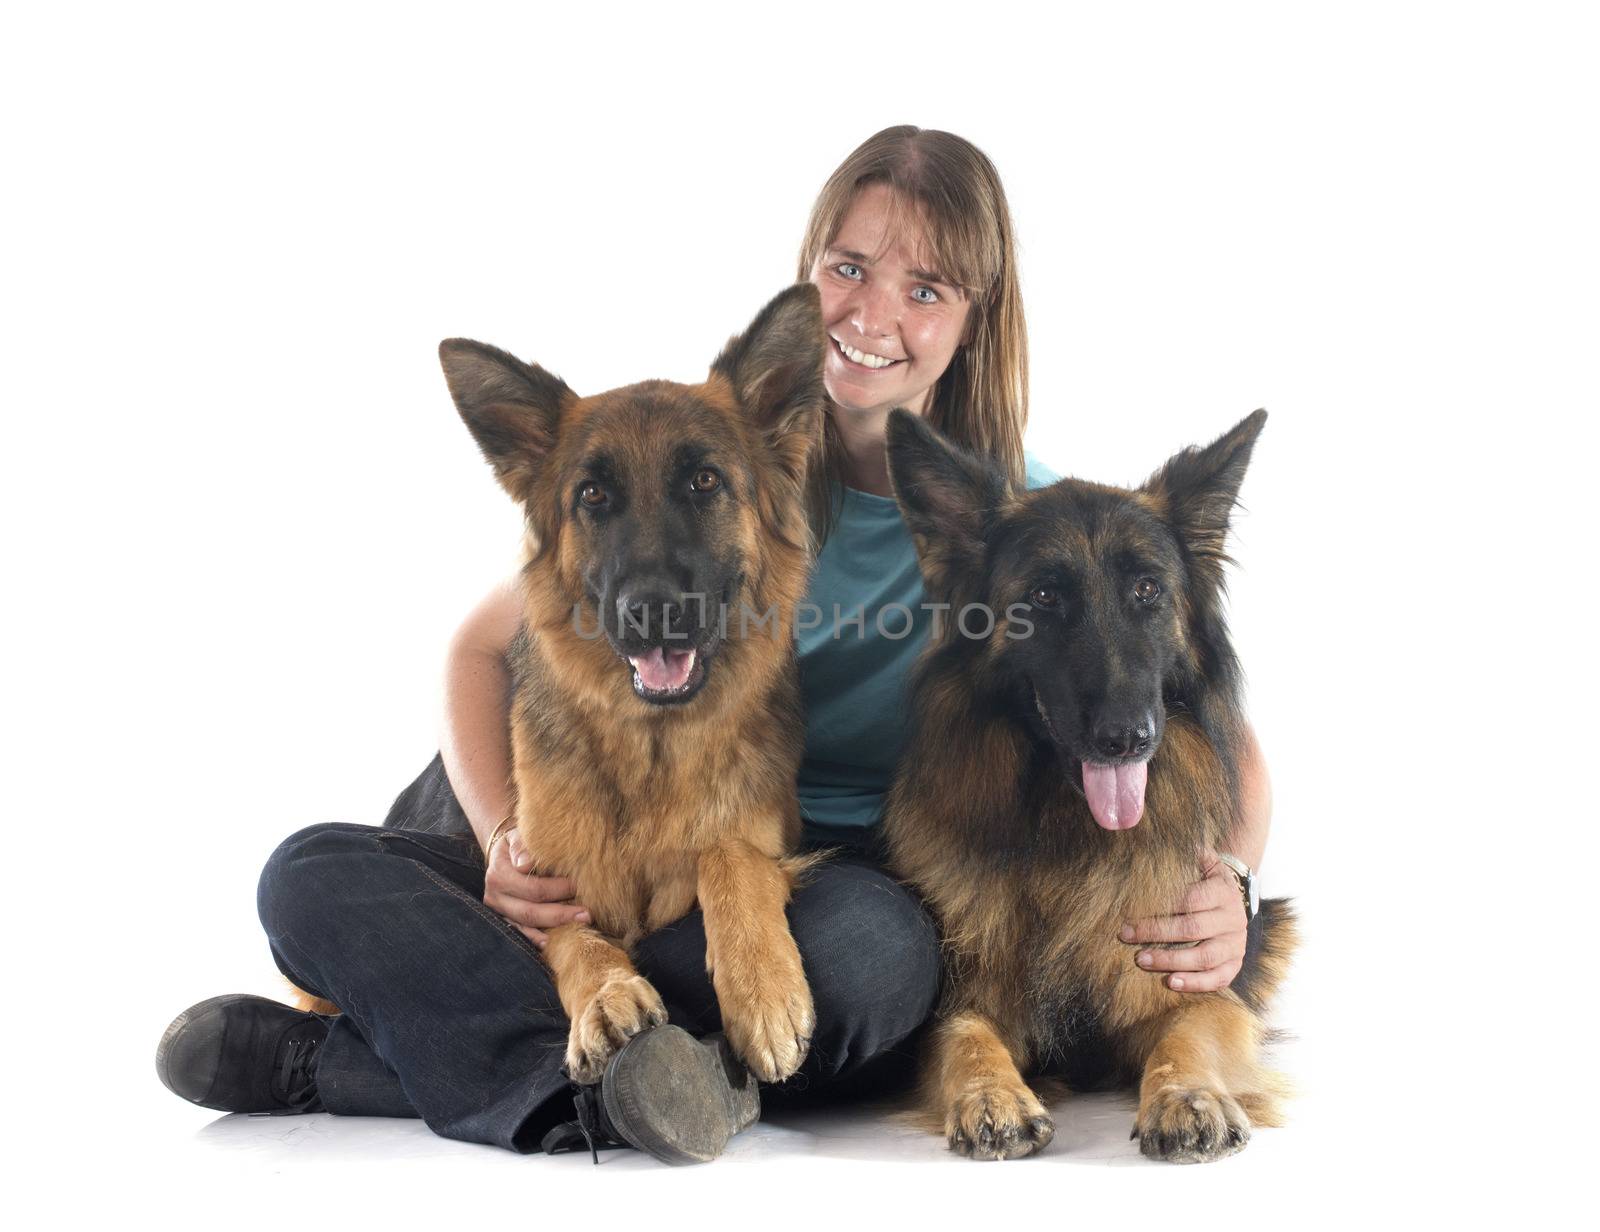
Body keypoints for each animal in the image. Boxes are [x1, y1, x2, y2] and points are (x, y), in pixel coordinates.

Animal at [435, 283, 825, 1081]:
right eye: (592, 496)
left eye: (704, 481)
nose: (651, 611)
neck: (653, 748)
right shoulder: (549, 888)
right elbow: (575, 941)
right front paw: (606, 995)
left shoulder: (760, 841)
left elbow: (728, 854)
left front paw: (764, 990)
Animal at [883, 408, 1292, 1158]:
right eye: (1044, 597)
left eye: (1147, 591)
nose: (1126, 737)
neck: (1071, 837)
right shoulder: (965, 1003)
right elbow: (965, 1037)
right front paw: (993, 1096)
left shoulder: (1190, 986)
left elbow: (1191, 1036)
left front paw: (1188, 1097)